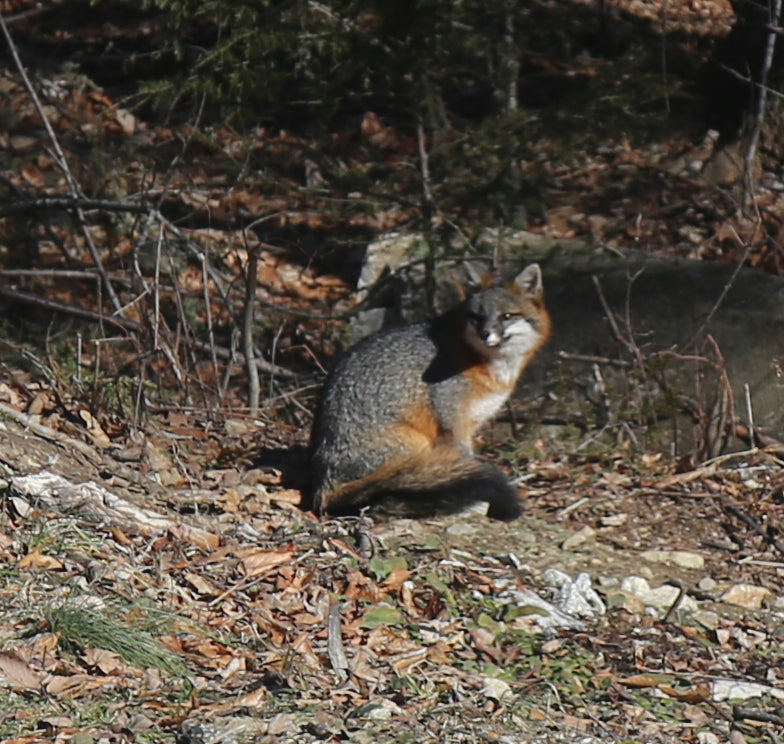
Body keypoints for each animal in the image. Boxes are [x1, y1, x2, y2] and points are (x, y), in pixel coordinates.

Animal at [308, 263, 550, 520]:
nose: (485, 333)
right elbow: (465, 461)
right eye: (477, 317)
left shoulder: (472, 422)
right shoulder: (453, 423)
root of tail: (323, 485)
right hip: (416, 445)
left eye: (507, 316)